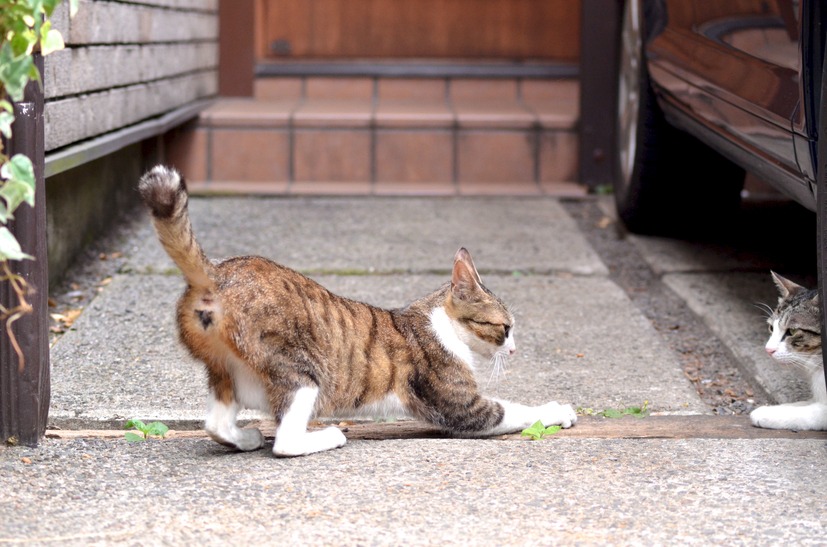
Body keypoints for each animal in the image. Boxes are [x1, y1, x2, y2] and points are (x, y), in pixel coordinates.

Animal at [139, 165, 580, 456]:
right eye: (505, 329)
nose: (515, 350)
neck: (440, 323)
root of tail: (217, 273)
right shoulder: (463, 407)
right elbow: (516, 410)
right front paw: (557, 410)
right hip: (301, 371)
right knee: (285, 442)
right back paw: (328, 436)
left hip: (225, 369)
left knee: (215, 422)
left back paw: (245, 438)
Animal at [752, 272, 827, 430]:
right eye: (771, 328)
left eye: (792, 331)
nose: (768, 349)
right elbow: (805, 402)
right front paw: (777, 408)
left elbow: (811, 413)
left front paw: (767, 414)